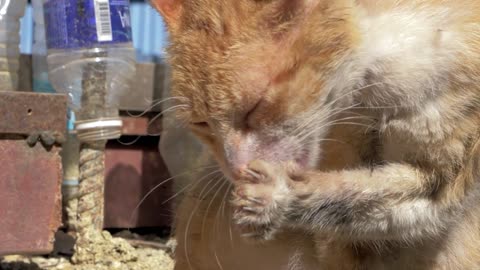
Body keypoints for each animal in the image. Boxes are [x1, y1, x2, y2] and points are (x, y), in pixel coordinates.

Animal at [152, 1, 480, 268]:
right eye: (201, 123)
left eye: (255, 107)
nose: (237, 170)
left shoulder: (440, 177)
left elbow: (355, 195)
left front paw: (275, 196)